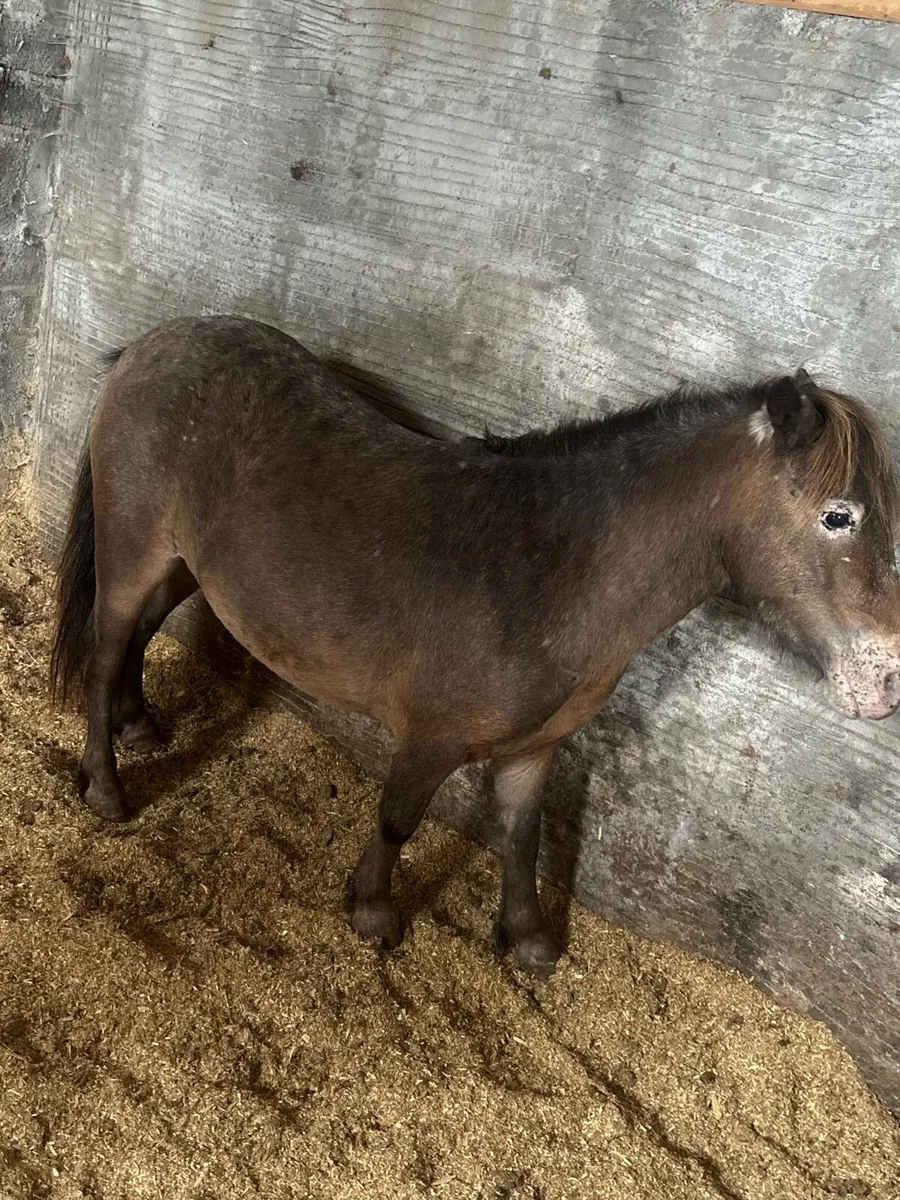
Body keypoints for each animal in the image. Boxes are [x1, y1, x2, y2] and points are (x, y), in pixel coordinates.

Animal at [50, 316, 900, 975]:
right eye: (839, 516)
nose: (886, 678)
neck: (556, 572)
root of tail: (152, 343)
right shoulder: (429, 738)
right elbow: (398, 819)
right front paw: (372, 912)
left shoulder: (537, 750)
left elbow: (523, 838)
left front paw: (527, 941)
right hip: (133, 548)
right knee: (106, 647)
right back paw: (106, 787)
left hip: (185, 565)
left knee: (140, 636)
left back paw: (139, 725)